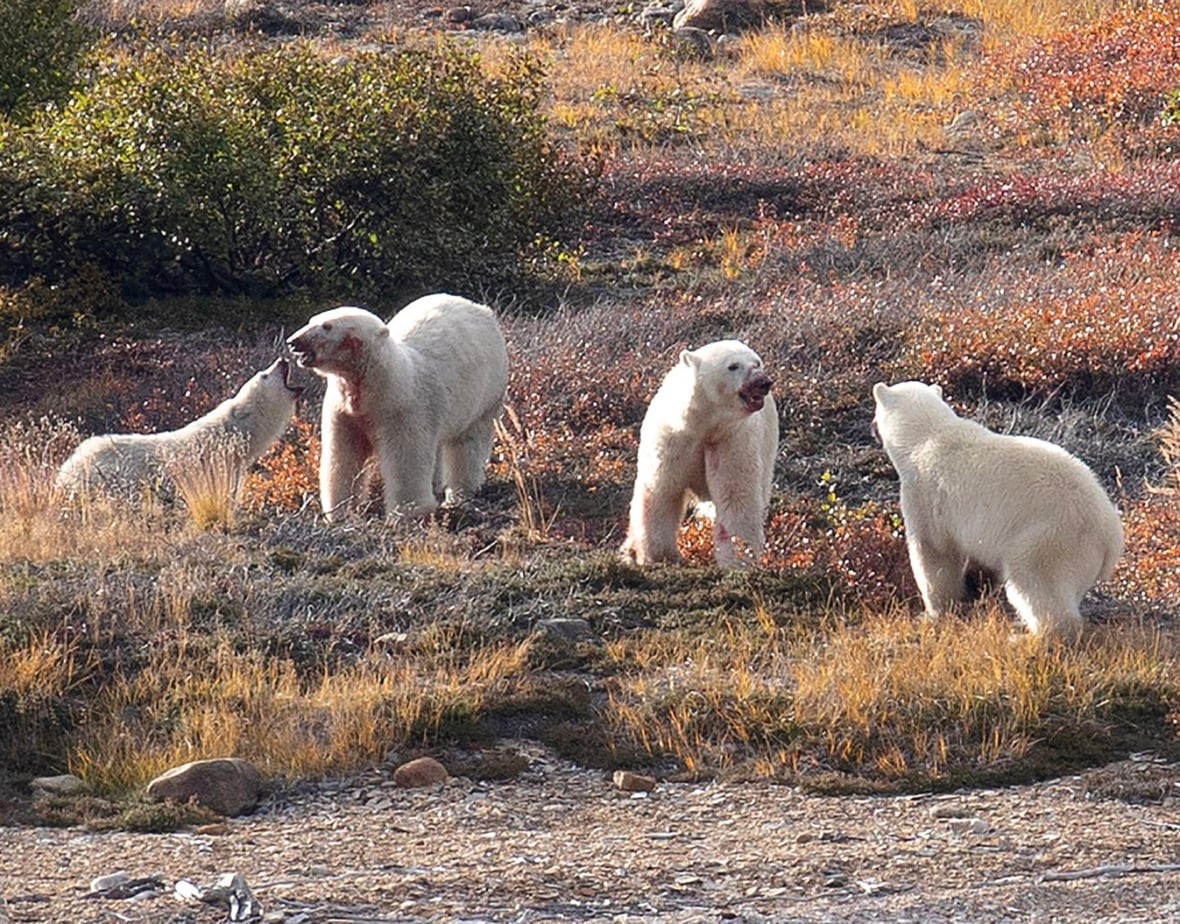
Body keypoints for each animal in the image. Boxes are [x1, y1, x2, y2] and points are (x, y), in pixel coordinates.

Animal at [286, 294, 508, 522]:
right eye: (312, 320)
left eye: (327, 326)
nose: (293, 342)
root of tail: (480, 308)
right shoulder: (344, 411)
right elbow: (343, 454)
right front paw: (339, 513)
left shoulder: (402, 408)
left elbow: (405, 458)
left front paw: (408, 513)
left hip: (486, 392)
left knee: (468, 443)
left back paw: (459, 496)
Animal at [621, 339, 779, 568]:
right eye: (733, 366)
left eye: (757, 362)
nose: (763, 382)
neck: (704, 425)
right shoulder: (674, 439)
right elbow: (662, 490)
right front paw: (658, 555)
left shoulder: (731, 440)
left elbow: (736, 496)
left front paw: (738, 561)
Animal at [871, 380, 1124, 641]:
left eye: (875, 410)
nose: (872, 427)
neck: (928, 436)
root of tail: (1111, 536)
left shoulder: (925, 494)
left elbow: (934, 553)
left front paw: (933, 613)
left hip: (1049, 540)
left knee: (1034, 582)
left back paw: (1029, 636)